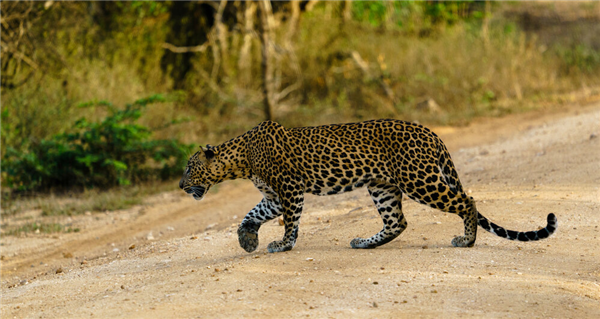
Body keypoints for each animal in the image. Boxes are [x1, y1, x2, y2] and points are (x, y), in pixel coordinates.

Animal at [179, 120, 556, 255]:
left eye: (189, 167)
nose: (181, 184)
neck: (240, 159)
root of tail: (432, 133)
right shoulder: (272, 197)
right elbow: (250, 214)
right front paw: (247, 239)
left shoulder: (290, 190)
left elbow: (291, 222)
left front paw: (283, 245)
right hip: (382, 186)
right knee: (397, 222)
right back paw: (365, 243)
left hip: (420, 179)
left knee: (468, 201)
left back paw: (467, 240)